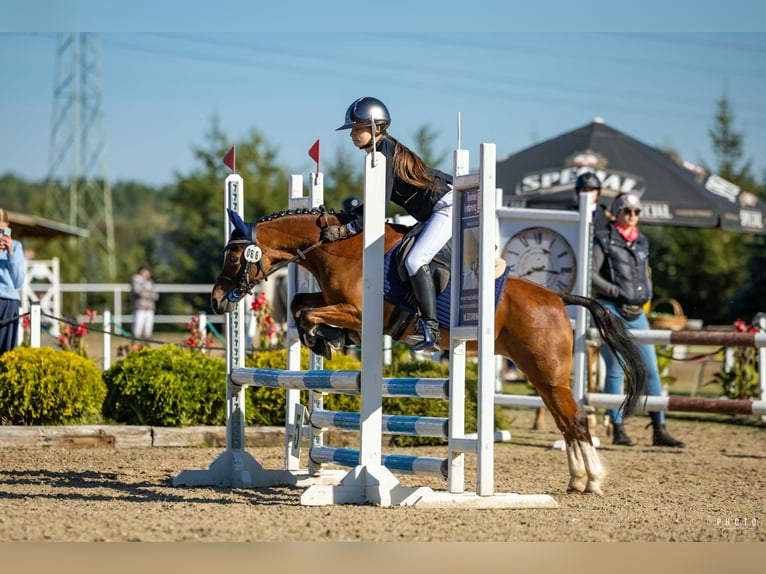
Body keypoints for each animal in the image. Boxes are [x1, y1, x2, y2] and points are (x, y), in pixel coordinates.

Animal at [211, 207, 647, 495]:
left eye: (233, 256)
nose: (216, 300)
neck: (340, 248)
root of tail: (557, 296)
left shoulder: (358, 312)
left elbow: (307, 313)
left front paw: (326, 340)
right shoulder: (332, 300)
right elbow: (301, 303)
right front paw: (327, 341)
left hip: (549, 373)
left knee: (576, 420)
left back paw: (593, 481)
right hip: (539, 375)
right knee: (565, 421)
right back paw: (578, 480)